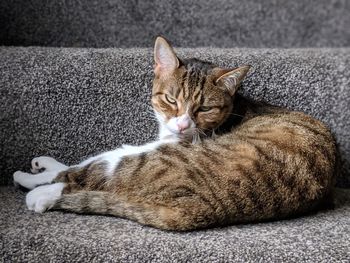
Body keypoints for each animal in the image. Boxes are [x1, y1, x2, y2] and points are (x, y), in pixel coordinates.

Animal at [12, 36, 338, 231]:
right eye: (171, 100)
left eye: (204, 108)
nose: (182, 125)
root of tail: (201, 209)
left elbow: (82, 170)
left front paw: (39, 177)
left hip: (144, 158)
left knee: (87, 172)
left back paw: (37, 187)